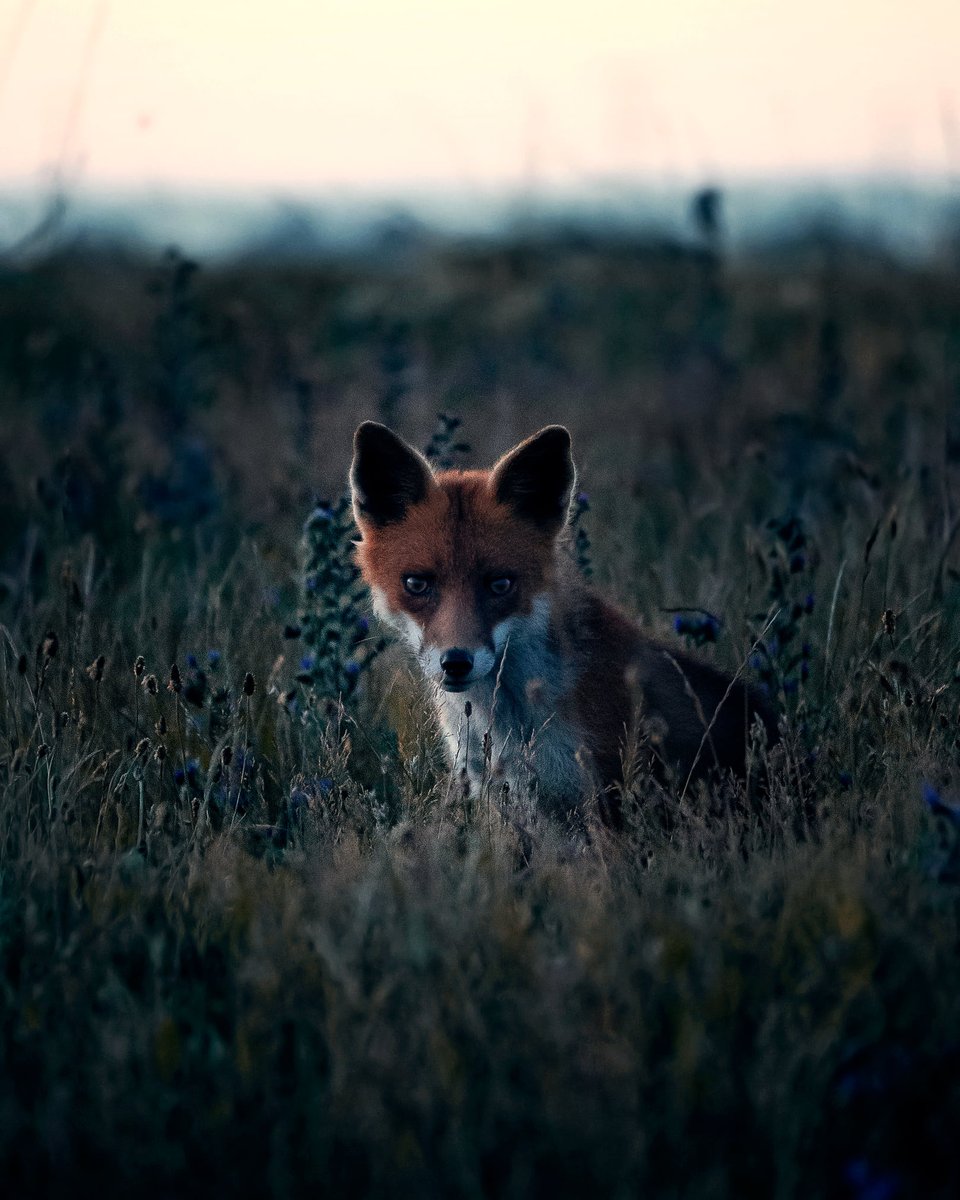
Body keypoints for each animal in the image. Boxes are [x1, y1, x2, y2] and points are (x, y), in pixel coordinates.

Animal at [350, 421, 776, 824]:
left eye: (500, 584)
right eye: (416, 584)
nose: (455, 662)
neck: (509, 723)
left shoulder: (602, 795)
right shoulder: (509, 797)